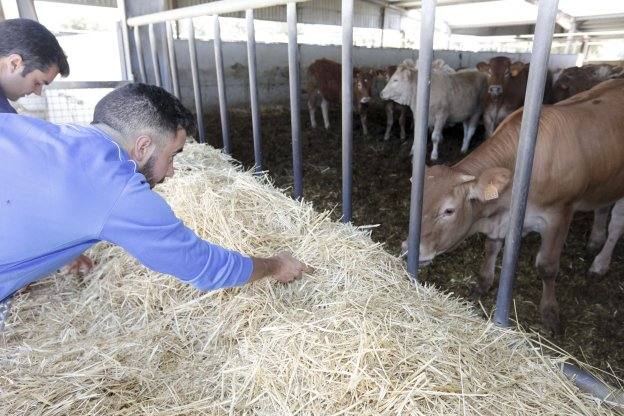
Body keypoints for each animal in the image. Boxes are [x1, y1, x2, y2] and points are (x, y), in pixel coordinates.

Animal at [404, 79, 624, 334]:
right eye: (416, 197)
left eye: (448, 210)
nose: (408, 247)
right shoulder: (503, 219)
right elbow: (491, 247)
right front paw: (483, 283)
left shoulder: (559, 216)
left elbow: (547, 266)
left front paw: (550, 313)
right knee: (602, 209)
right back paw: (595, 240)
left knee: (616, 225)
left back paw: (599, 264)